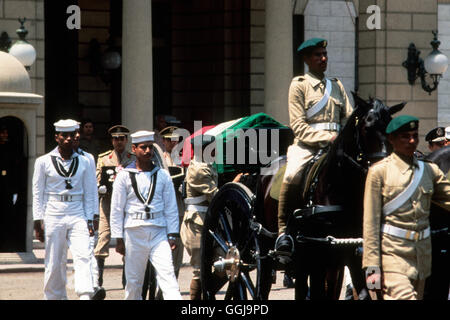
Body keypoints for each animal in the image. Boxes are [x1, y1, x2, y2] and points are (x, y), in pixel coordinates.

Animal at [255, 92, 406, 300]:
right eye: (367, 127)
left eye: (392, 129)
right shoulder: (319, 257)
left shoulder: (351, 253)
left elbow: (362, 293)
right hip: (267, 249)